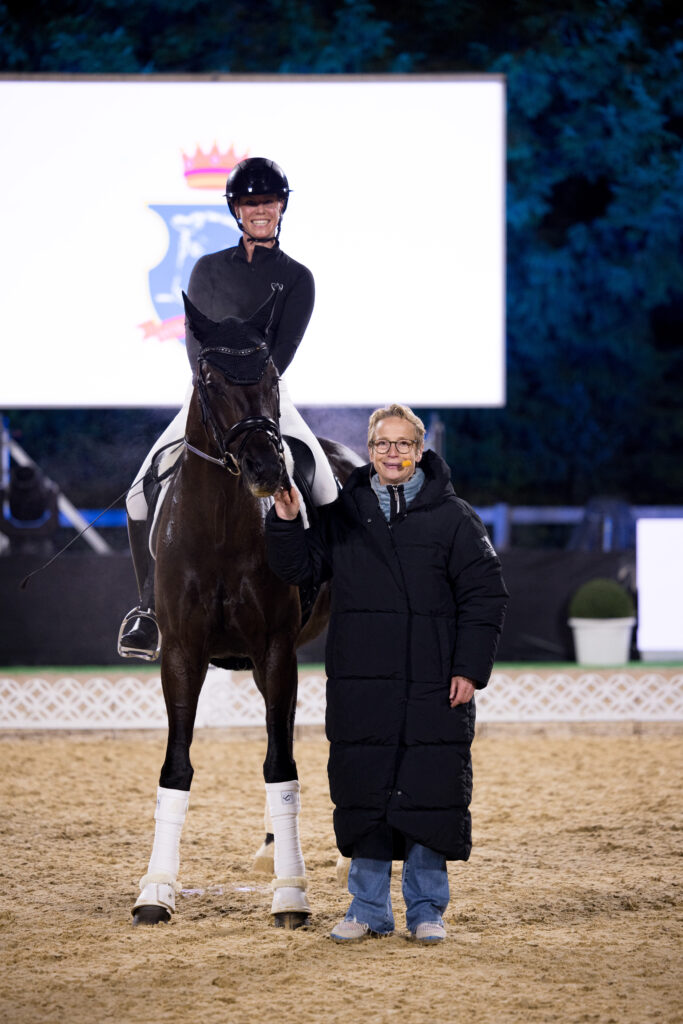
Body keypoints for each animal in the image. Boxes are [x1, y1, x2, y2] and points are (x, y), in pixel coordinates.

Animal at [132, 285, 361, 928]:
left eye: (271, 374)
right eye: (209, 378)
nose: (266, 469)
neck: (219, 525)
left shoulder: (276, 652)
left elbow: (281, 768)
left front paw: (292, 895)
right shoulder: (182, 654)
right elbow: (177, 768)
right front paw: (156, 890)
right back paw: (270, 850)